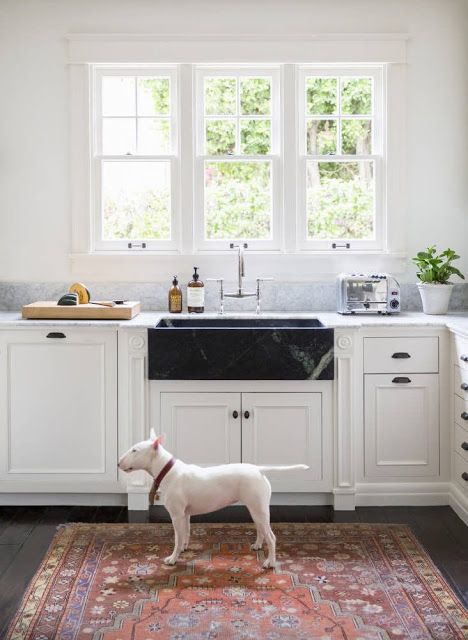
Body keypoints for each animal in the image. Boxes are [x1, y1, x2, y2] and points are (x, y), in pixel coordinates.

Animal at [117, 432, 308, 568]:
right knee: (262, 529)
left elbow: (177, 537)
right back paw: (257, 545)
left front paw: (172, 558)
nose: (118, 463)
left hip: (258, 508)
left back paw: (270, 562)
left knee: (272, 537)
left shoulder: (176, 515)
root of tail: (258, 470)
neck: (168, 470)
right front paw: (184, 548)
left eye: (135, 450)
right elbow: (185, 532)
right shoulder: (185, 514)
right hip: (256, 508)